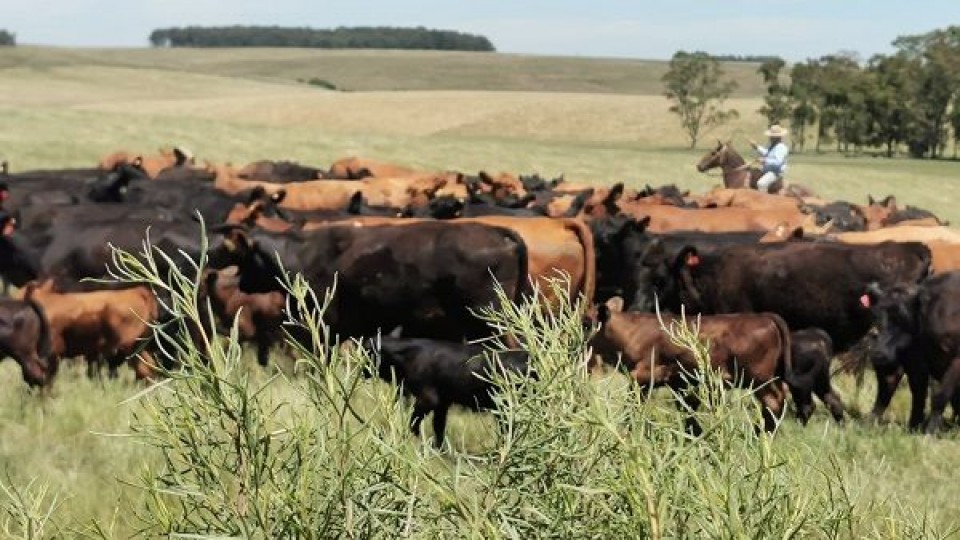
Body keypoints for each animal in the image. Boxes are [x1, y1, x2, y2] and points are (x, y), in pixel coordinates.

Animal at [205, 220, 528, 340]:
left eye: (242, 257)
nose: (210, 254)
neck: (301, 252)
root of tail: (496, 231)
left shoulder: (326, 324)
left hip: (487, 321)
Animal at [366, 338, 532, 448]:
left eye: (367, 351)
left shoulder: (428, 398)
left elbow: (414, 422)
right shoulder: (442, 403)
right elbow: (438, 426)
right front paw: (439, 449)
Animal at [588, 296, 792, 430]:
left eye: (586, 323)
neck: (632, 331)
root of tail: (765, 316)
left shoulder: (643, 375)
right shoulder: (676, 383)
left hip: (759, 378)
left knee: (774, 402)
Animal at [868, 272, 960, 432]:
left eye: (903, 316)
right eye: (876, 315)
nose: (878, 353)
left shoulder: (956, 361)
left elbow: (940, 396)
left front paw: (931, 430)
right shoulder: (914, 363)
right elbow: (917, 394)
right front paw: (914, 426)